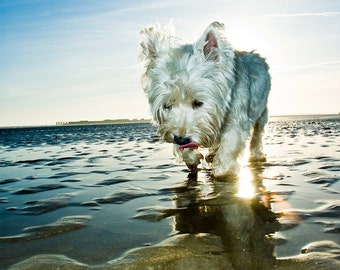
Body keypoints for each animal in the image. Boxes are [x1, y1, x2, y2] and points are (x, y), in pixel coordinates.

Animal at [139, 22, 270, 176]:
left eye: (198, 102)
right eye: (167, 105)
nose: (181, 139)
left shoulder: (237, 121)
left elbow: (227, 150)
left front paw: (222, 171)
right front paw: (192, 158)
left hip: (262, 112)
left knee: (257, 134)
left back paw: (256, 154)